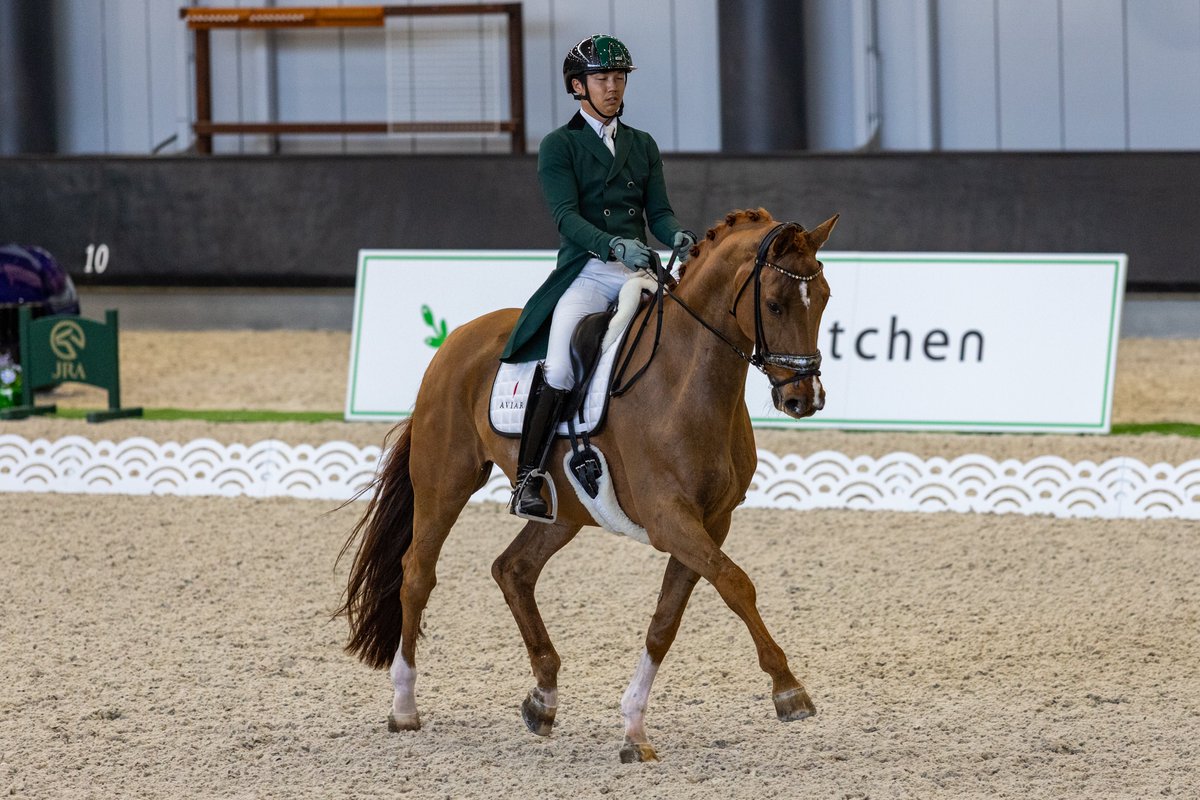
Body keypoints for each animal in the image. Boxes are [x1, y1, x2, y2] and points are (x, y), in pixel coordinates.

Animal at [338, 208, 838, 762]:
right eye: (773, 304)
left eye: (825, 298)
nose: (804, 399)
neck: (685, 381)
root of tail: (458, 337)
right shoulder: (670, 520)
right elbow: (736, 584)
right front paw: (789, 689)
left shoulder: (711, 522)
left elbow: (666, 620)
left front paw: (634, 729)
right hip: (444, 483)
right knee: (417, 575)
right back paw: (404, 706)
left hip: (564, 511)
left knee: (512, 570)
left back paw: (543, 699)